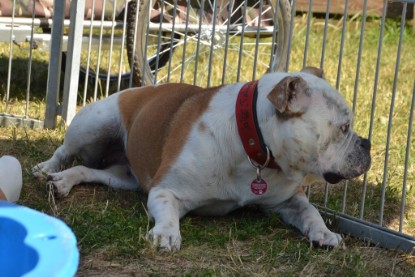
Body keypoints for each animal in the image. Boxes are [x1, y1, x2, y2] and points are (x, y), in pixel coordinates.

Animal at [31, 67, 370, 250]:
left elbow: (310, 211)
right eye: (343, 128)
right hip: (93, 124)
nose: (366, 143)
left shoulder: (287, 200)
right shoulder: (165, 190)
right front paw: (166, 234)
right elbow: (168, 213)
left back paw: (62, 181)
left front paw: (325, 233)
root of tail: (135, 90)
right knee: (65, 150)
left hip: (124, 177)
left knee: (89, 170)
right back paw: (47, 169)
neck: (253, 146)